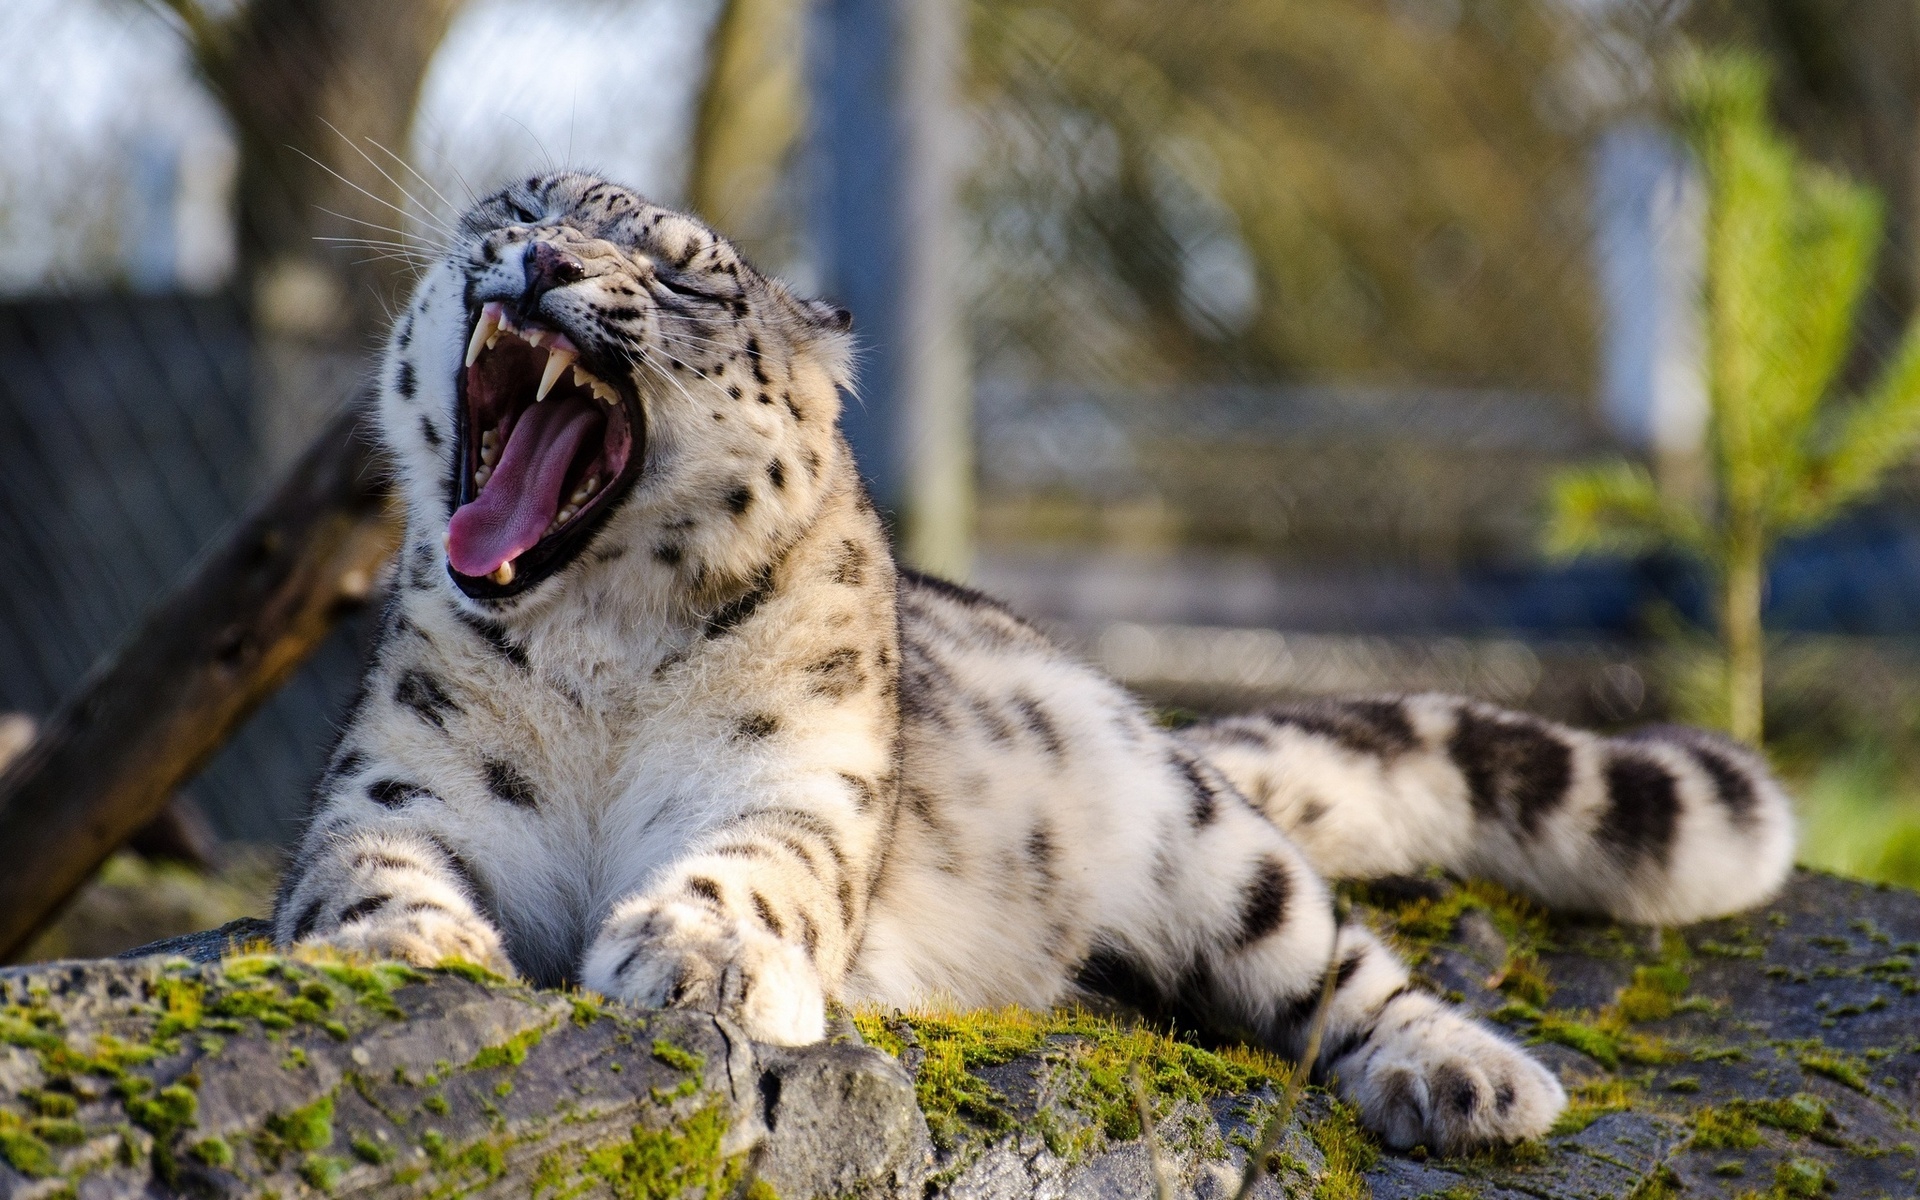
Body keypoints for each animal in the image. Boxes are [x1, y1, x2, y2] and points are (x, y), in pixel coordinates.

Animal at [274, 168, 1797, 1152]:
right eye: (520, 206)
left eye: (686, 276)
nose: (542, 264)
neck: (592, 651)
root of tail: (1141, 715)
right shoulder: (402, 781)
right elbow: (368, 859)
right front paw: (411, 940)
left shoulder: (798, 787)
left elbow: (756, 870)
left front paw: (701, 958)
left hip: (1215, 853)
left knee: (1346, 970)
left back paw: (1471, 1081)